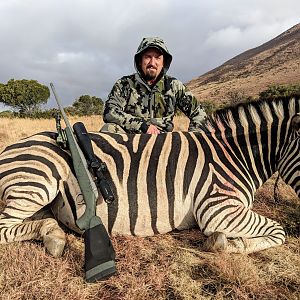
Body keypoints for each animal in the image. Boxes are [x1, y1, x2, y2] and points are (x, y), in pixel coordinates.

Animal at [0, 96, 298, 258]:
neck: (233, 155)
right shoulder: (218, 209)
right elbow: (279, 231)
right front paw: (224, 243)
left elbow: (276, 231)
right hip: (37, 183)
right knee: (4, 227)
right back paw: (55, 238)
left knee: (40, 221)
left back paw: (54, 236)